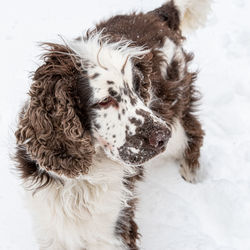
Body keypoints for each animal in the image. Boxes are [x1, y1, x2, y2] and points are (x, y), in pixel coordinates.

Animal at [14, 0, 210, 249]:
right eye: (105, 100)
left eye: (138, 89)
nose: (161, 136)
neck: (83, 177)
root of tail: (155, 15)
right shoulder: (52, 229)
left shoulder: (114, 229)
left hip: (175, 117)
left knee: (193, 132)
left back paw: (190, 174)